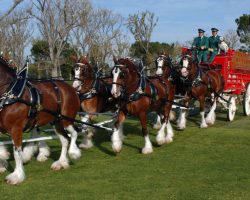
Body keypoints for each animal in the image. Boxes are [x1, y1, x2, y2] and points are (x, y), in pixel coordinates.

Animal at [0, 55, 80, 184]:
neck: (9, 94)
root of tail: (71, 88)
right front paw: (3, 159)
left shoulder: (16, 128)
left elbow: (17, 152)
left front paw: (17, 176)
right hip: (56, 121)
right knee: (64, 140)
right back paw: (61, 163)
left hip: (66, 120)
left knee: (73, 134)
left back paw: (73, 153)